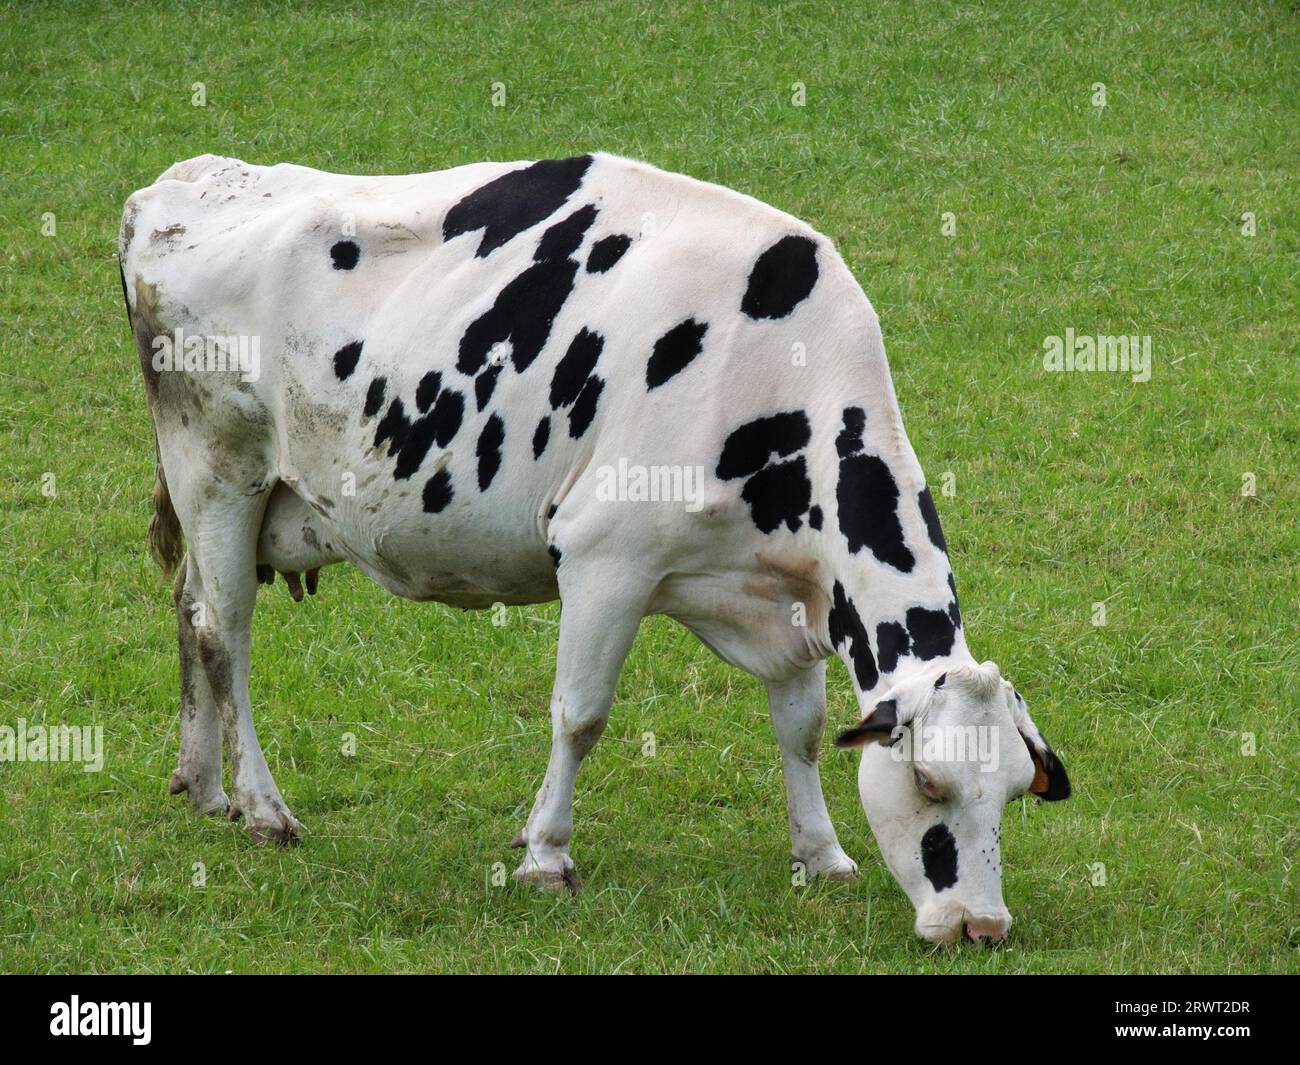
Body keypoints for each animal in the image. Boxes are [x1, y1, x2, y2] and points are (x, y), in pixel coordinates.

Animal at [120, 152, 1070, 944]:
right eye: (929, 783)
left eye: (1015, 790)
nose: (981, 926)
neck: (772, 371)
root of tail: (183, 181)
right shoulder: (606, 558)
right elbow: (580, 716)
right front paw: (545, 854)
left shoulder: (782, 592)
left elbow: (799, 727)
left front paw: (822, 853)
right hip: (219, 470)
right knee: (224, 636)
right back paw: (262, 806)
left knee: (190, 610)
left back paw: (202, 787)